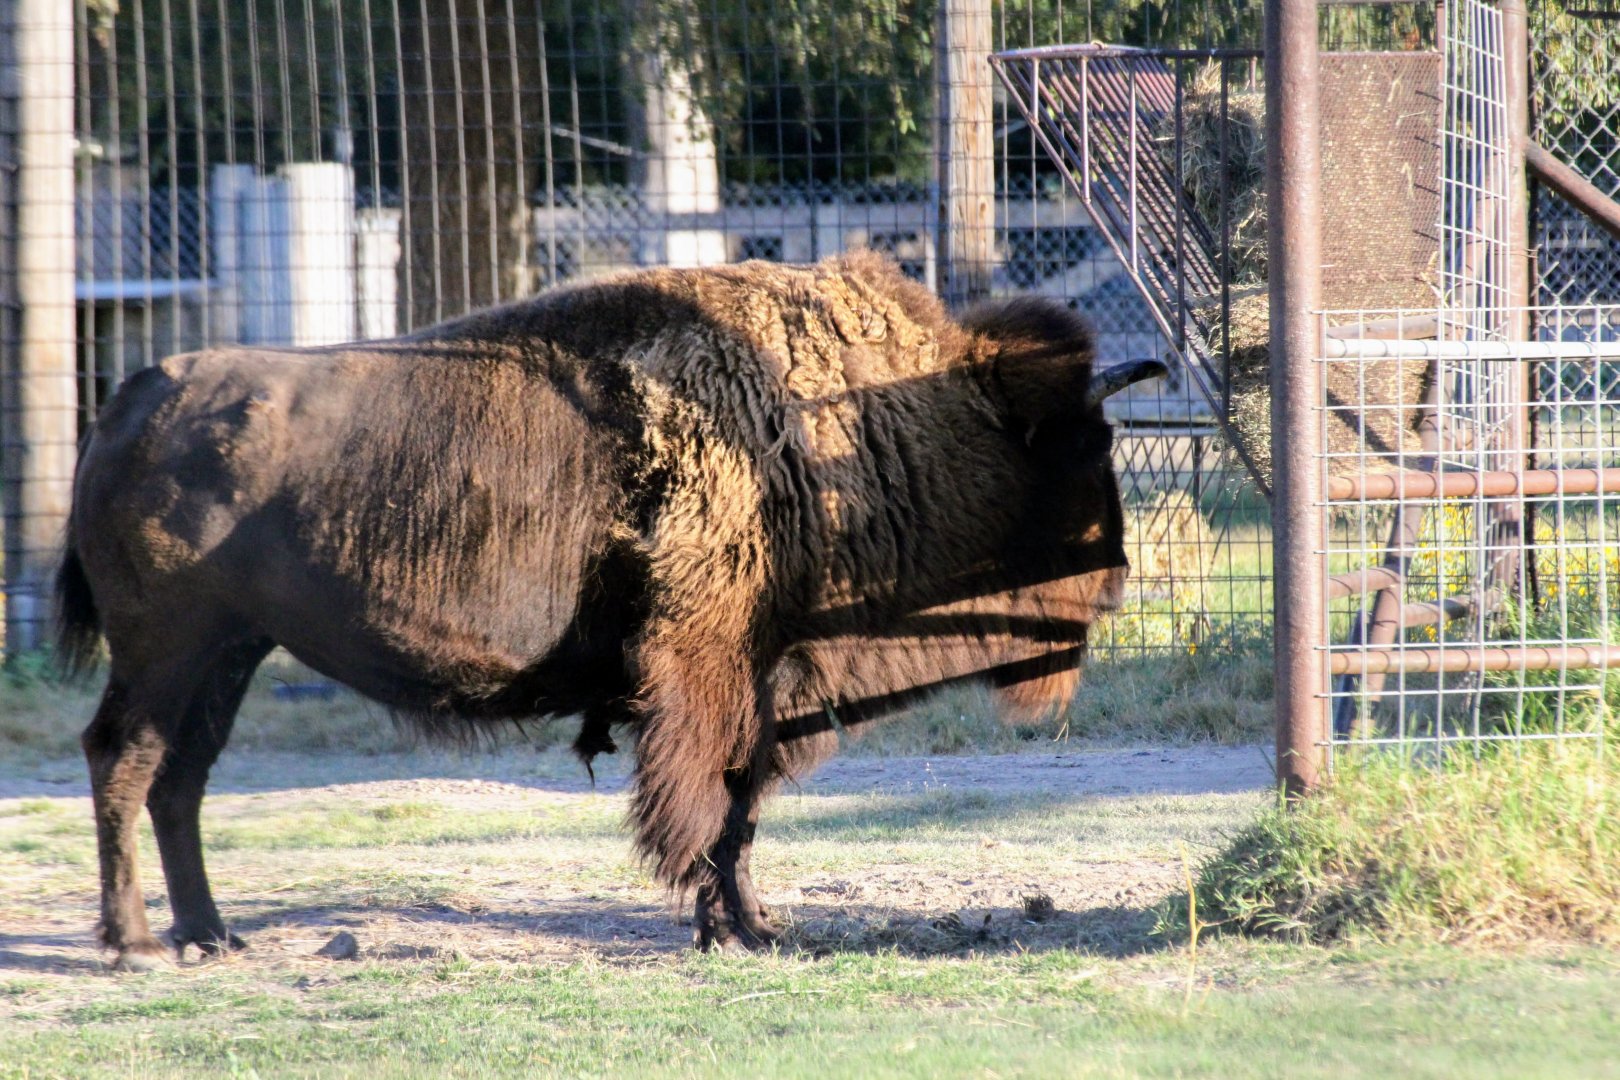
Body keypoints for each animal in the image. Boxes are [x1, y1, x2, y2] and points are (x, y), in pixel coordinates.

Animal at [56, 251, 1161, 969]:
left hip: (231, 654)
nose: (1115, 574)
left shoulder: (764, 683)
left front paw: (754, 926)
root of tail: (135, 394)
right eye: (1085, 441)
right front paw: (727, 930)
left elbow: (742, 807)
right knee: (125, 761)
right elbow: (711, 804)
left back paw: (210, 935)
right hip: (165, 651)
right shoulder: (711, 673)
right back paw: (137, 944)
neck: (856, 421)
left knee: (181, 779)